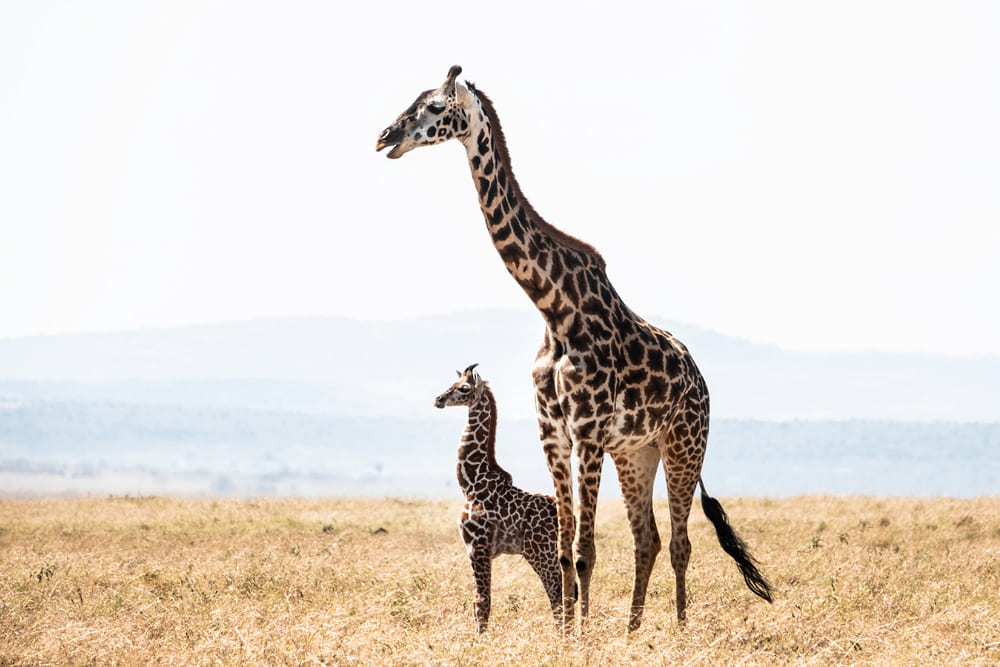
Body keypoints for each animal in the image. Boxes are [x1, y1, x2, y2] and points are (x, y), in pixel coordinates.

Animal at [436, 366, 568, 632]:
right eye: (453, 383)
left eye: (464, 388)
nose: (439, 400)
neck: (471, 482)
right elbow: (481, 600)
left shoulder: (477, 545)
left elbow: (481, 600)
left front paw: (479, 639)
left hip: (541, 553)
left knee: (557, 594)